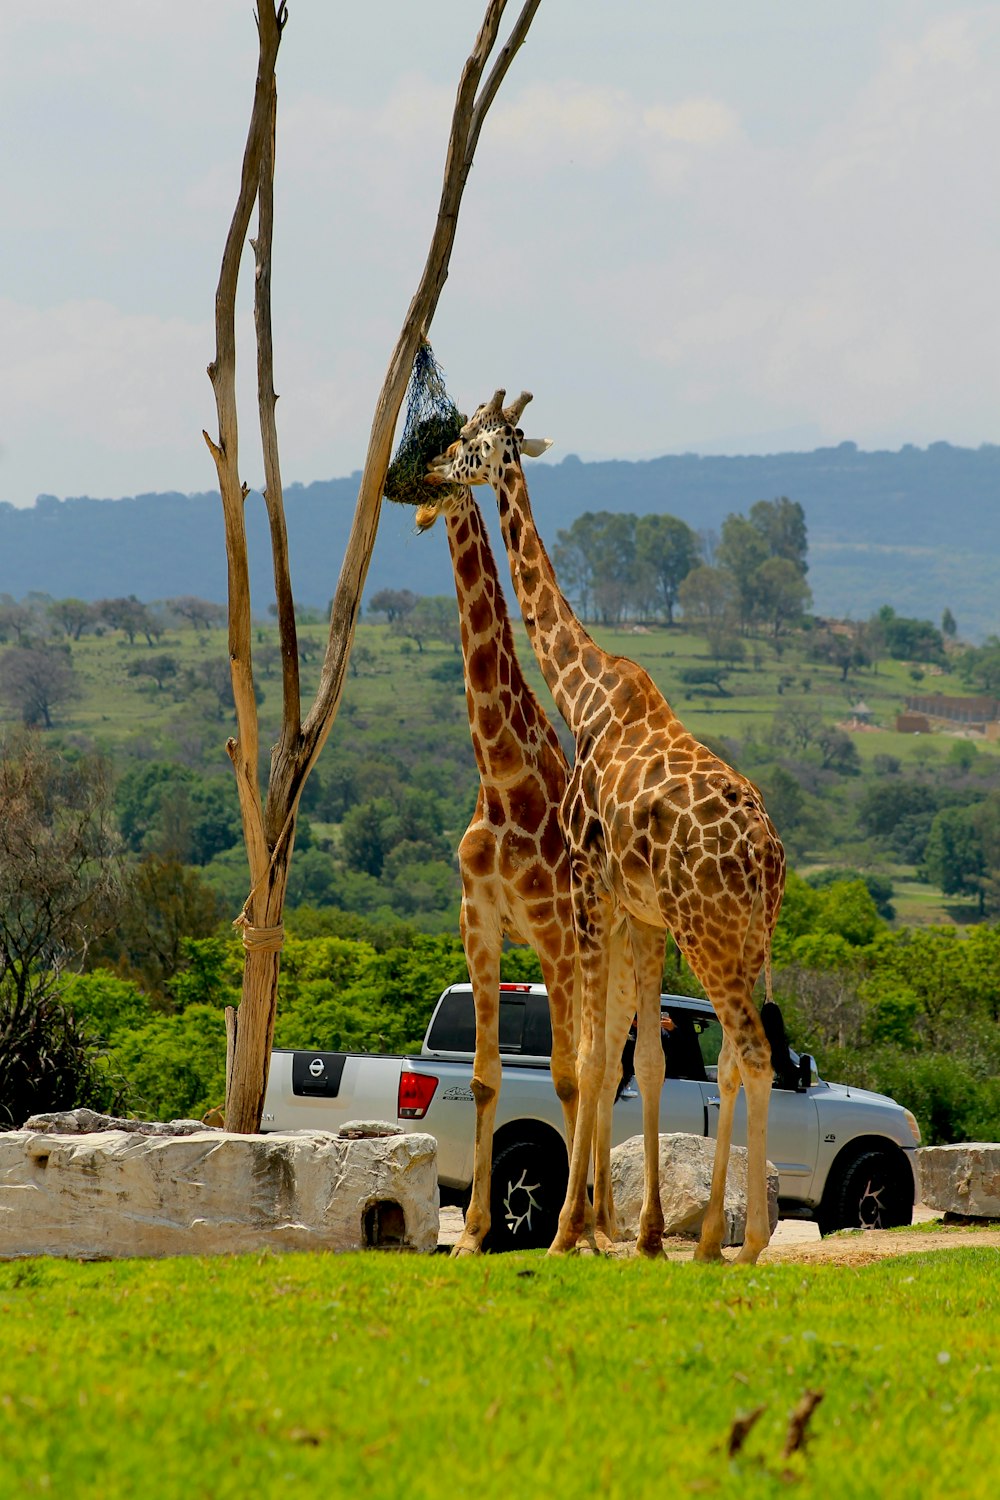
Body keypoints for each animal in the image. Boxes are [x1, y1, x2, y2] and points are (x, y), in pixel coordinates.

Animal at [425, 390, 785, 1266]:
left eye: (469, 442)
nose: (434, 465)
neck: (582, 691)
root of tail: (767, 857)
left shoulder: (588, 894)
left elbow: (587, 1062)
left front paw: (565, 1234)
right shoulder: (632, 911)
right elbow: (640, 1061)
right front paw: (631, 1234)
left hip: (706, 930)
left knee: (751, 1054)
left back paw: (744, 1243)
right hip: (740, 935)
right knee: (733, 1059)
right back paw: (708, 1241)